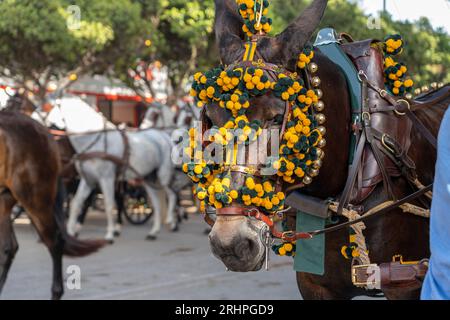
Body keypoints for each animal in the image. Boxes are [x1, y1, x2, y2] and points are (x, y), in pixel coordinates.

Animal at [0, 110, 104, 300]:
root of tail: (45, 132)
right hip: (5, 200)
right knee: (8, 248)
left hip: (35, 199)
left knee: (55, 242)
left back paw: (56, 291)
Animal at [47, 96, 178, 241]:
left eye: (52, 109)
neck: (94, 141)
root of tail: (164, 136)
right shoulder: (88, 180)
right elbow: (76, 204)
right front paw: (70, 232)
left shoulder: (106, 179)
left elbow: (109, 204)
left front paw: (109, 234)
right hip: (147, 178)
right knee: (156, 202)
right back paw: (154, 232)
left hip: (163, 175)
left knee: (172, 195)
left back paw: (171, 221)